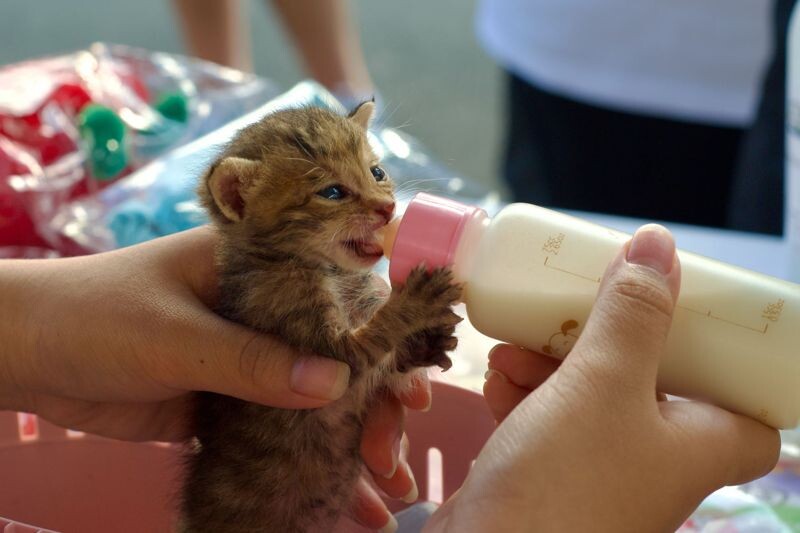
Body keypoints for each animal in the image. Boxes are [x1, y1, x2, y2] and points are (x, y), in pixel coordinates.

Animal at [177, 101, 460, 532]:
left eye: (377, 172)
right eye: (332, 192)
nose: (388, 209)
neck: (330, 270)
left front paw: (426, 345)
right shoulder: (326, 349)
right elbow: (372, 338)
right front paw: (415, 301)